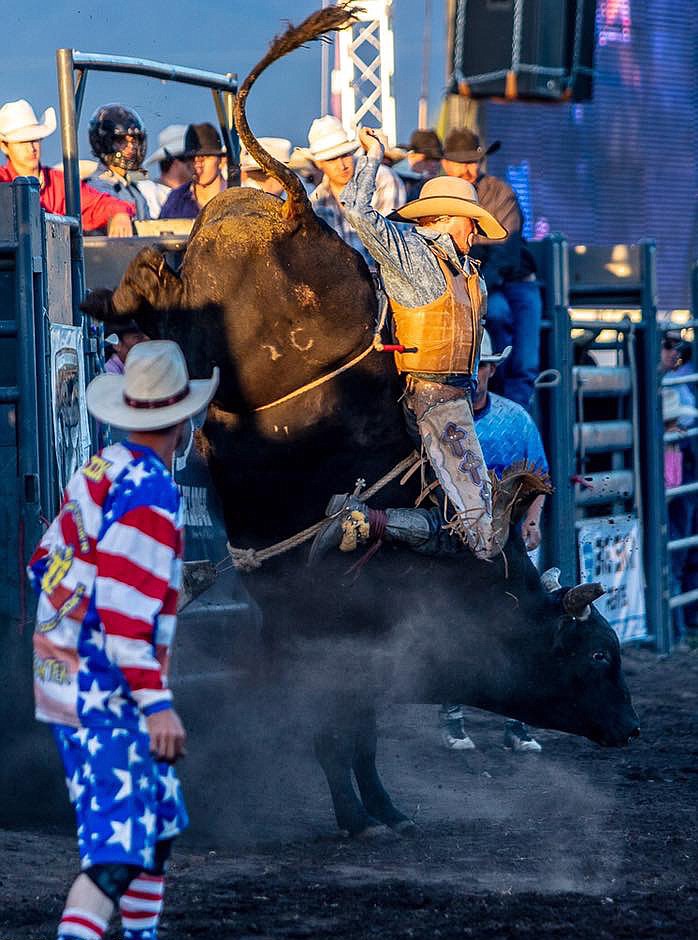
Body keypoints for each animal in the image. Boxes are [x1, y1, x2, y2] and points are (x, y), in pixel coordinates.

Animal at [84, 1, 640, 836]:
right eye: (602, 656)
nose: (632, 728)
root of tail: (292, 207)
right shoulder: (333, 649)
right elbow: (339, 734)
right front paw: (357, 814)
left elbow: (359, 735)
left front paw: (379, 808)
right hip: (216, 332)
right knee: (167, 298)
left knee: (156, 280)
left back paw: (108, 299)